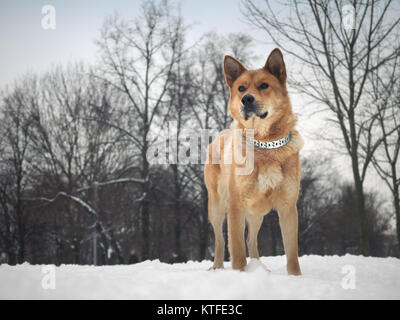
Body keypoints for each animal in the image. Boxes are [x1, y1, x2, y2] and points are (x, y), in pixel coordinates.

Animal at [205, 47, 302, 276]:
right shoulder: (235, 205)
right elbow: (237, 250)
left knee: (252, 240)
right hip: (217, 206)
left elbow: (292, 254)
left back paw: (260, 268)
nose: (246, 99)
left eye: (264, 85)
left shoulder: (288, 207)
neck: (263, 143)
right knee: (220, 240)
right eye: (241, 88)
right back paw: (217, 267)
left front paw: (296, 278)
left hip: (257, 211)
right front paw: (241, 274)